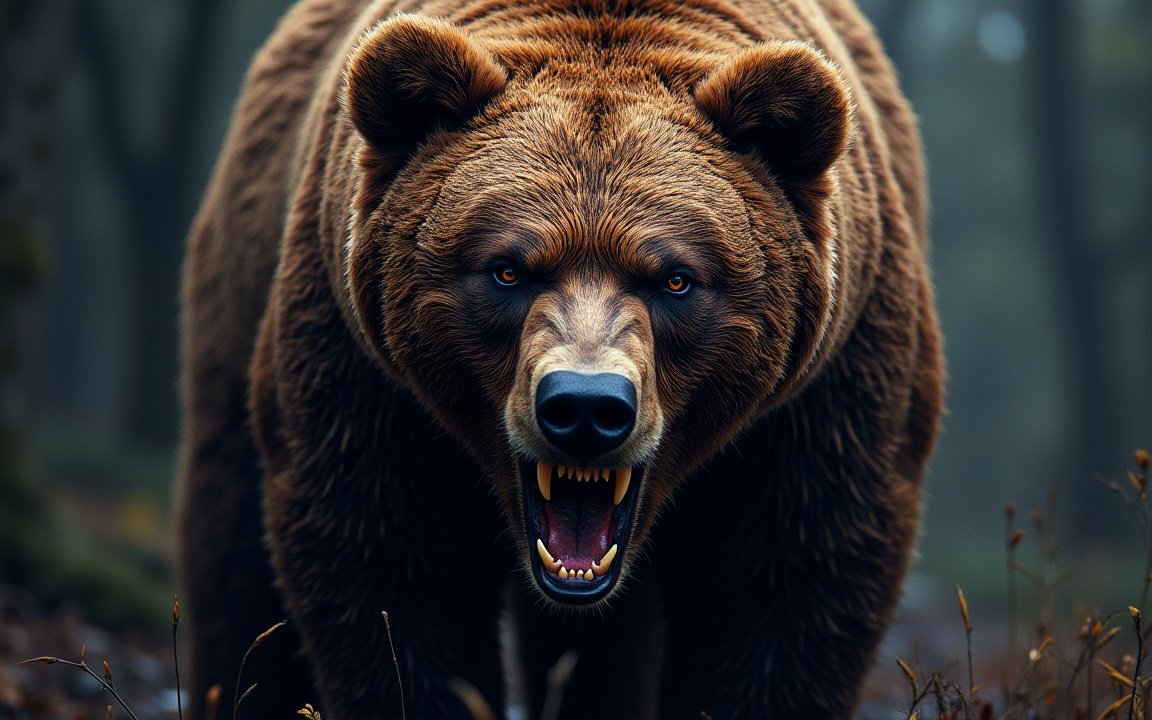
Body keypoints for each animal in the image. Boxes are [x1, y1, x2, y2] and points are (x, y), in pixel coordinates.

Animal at [177, 0, 943, 718]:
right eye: (507, 270)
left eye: (676, 279)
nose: (585, 407)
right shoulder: (368, 382)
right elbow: (389, 568)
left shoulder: (820, 397)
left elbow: (788, 585)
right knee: (235, 553)